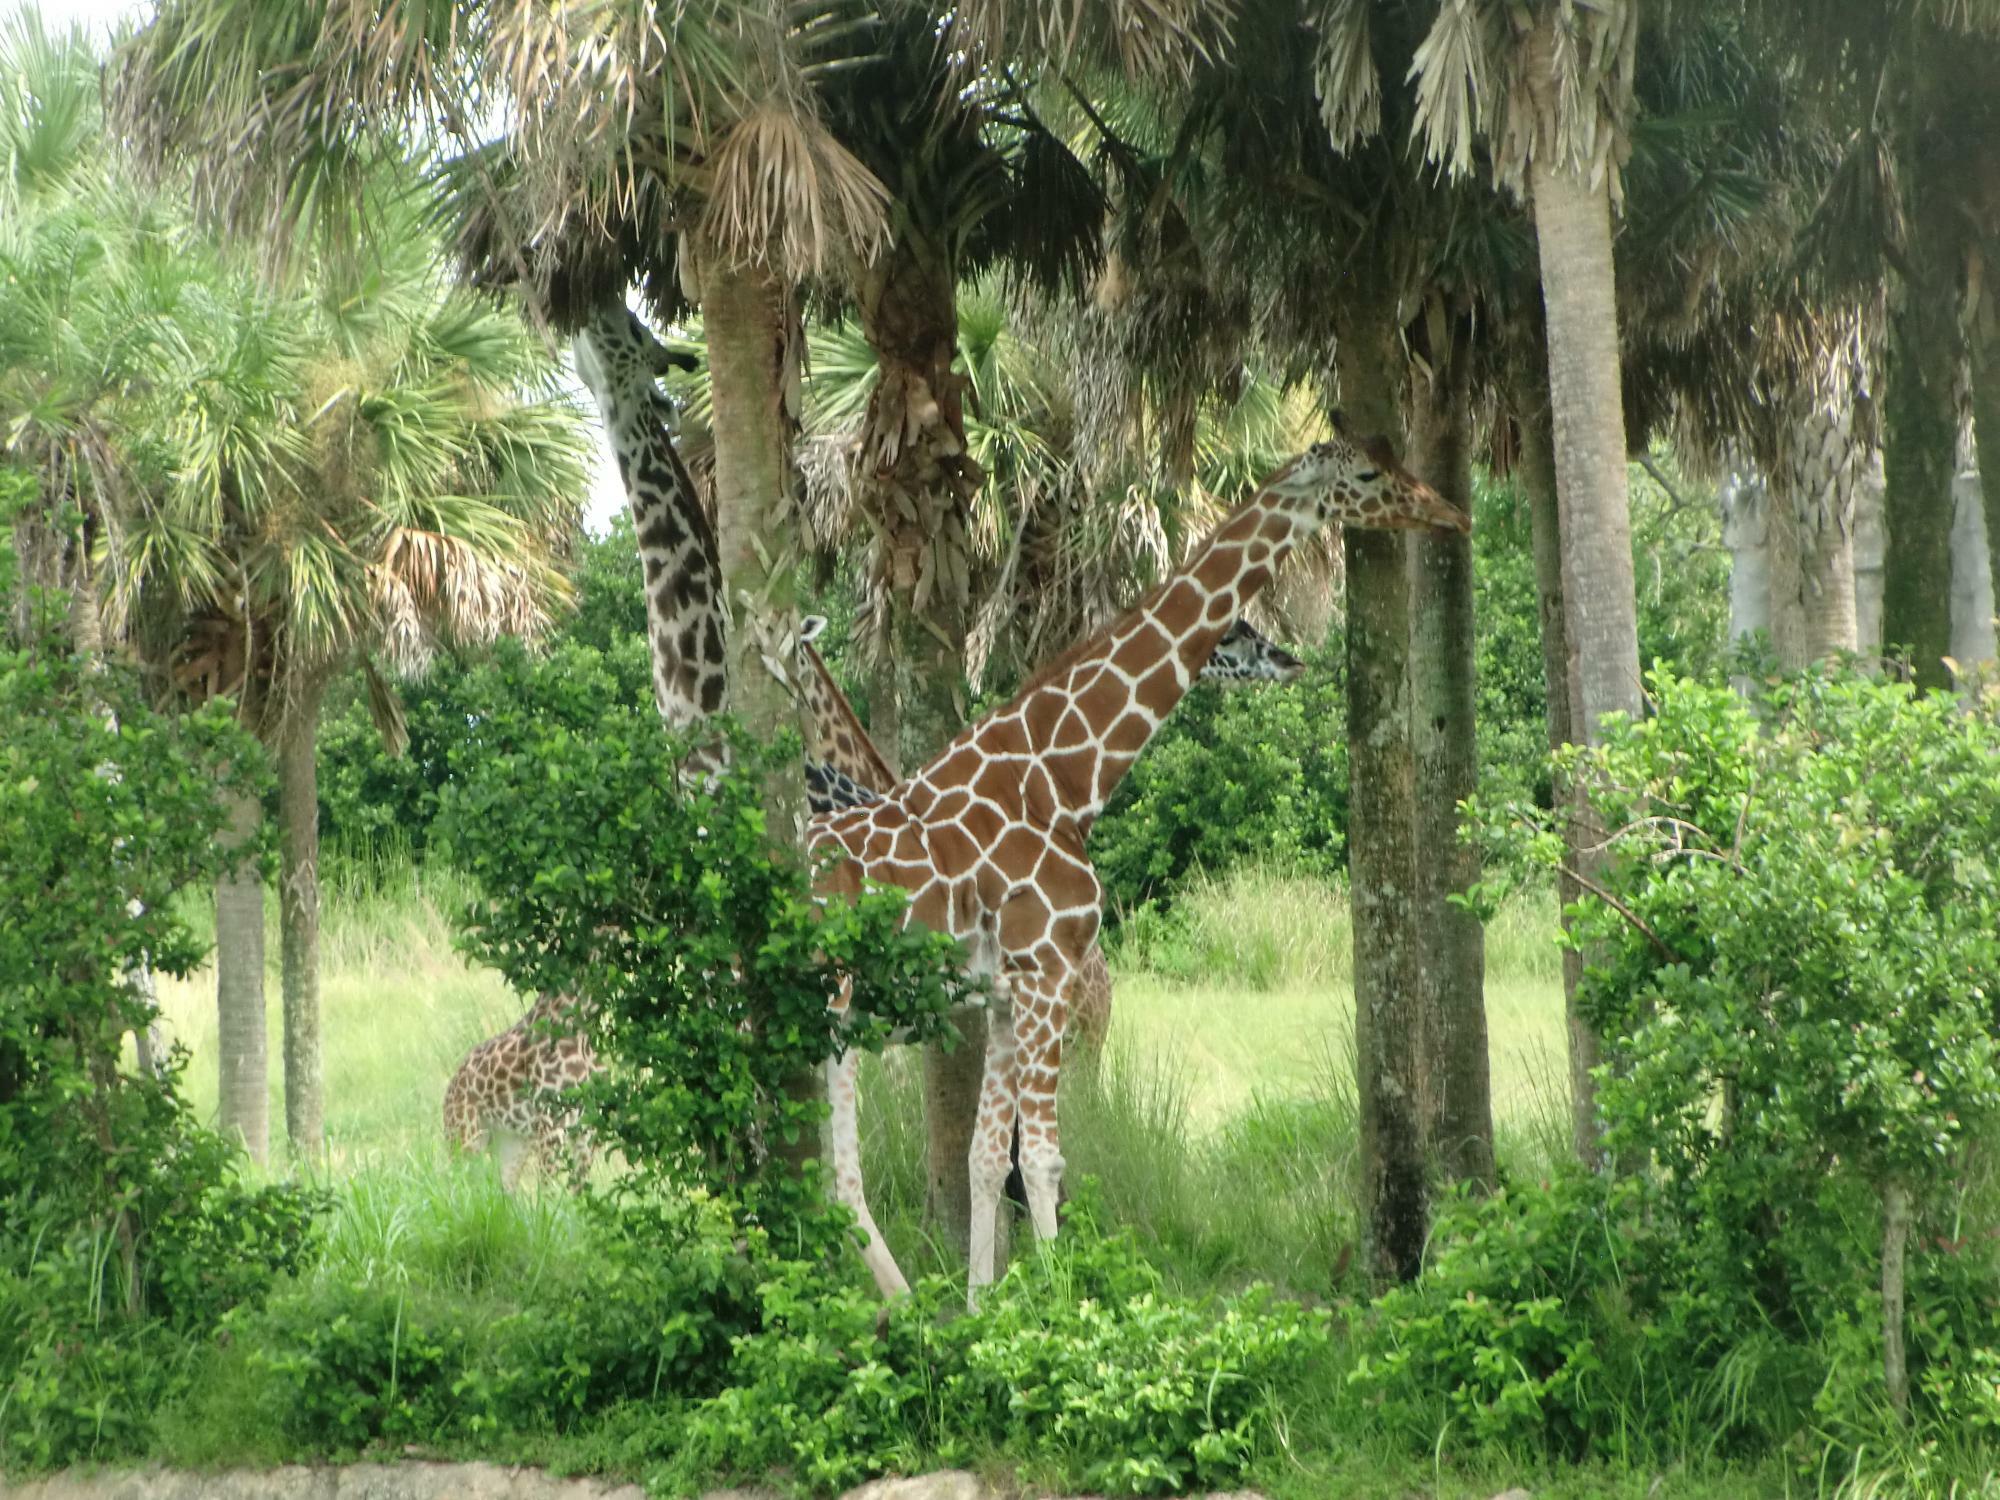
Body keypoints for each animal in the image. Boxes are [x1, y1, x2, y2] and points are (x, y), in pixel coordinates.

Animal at [450, 992, 604, 1192]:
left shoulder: (587, 1125)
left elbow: (580, 1189)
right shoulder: (552, 1124)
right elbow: (549, 1188)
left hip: (511, 1143)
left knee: (502, 1191)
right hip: (465, 1140)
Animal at [812, 426, 1472, 1304]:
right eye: (1369, 474)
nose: (1451, 513)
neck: (1065, 781)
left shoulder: (1004, 992)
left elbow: (986, 1158)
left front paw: (986, 1306)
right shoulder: (1047, 970)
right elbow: (1043, 1159)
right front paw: (1061, 1310)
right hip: (824, 1002)